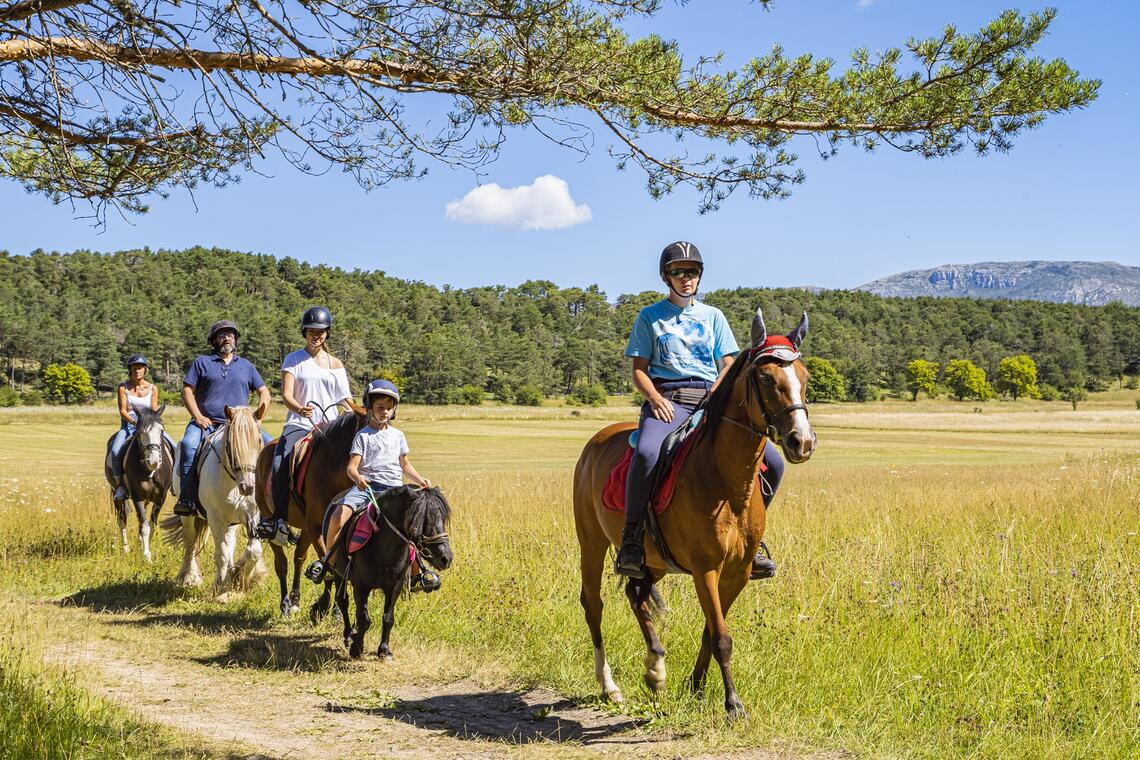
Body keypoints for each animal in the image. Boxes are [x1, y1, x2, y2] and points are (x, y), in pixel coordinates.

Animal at [257, 407, 364, 615]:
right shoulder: (315, 527)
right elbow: (330, 564)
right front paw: (324, 606)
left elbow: (336, 566)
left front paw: (334, 610)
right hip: (269, 518)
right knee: (281, 563)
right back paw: (285, 604)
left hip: (305, 529)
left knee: (299, 557)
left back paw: (295, 599)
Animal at [328, 487, 451, 660]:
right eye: (422, 521)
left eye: (443, 518)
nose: (446, 558)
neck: (383, 546)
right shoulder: (361, 586)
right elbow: (364, 620)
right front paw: (356, 649)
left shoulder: (395, 586)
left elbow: (388, 618)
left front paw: (384, 650)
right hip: (339, 574)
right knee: (343, 602)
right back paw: (348, 636)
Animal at [574, 305, 816, 724]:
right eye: (767, 378)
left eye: (804, 377)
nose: (801, 442)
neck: (726, 482)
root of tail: (597, 440)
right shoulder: (706, 569)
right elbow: (721, 636)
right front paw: (733, 704)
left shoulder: (738, 572)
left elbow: (711, 629)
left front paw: (696, 688)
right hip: (592, 543)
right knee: (594, 605)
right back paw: (610, 686)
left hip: (652, 559)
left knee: (636, 594)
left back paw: (655, 669)